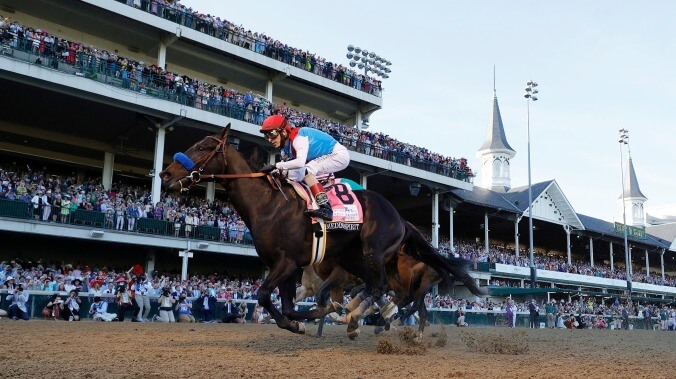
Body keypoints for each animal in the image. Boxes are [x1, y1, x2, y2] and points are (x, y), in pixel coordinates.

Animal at [161, 126, 484, 336]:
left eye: (203, 147)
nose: (165, 173)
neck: (268, 204)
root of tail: (402, 219)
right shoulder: (288, 267)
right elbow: (287, 305)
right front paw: (301, 322)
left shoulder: (288, 261)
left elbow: (266, 295)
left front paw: (321, 314)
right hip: (354, 259)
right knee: (384, 290)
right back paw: (363, 318)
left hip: (375, 252)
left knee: (387, 290)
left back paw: (365, 318)